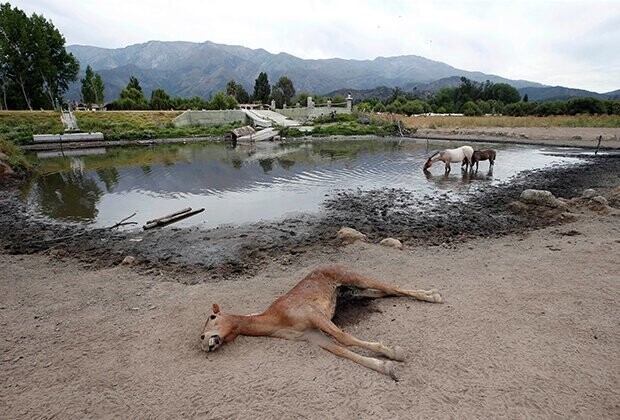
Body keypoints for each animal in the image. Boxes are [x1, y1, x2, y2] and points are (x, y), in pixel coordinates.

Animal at [201, 266, 444, 380]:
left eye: (212, 317)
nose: (204, 342)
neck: (277, 320)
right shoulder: (313, 336)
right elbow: (343, 351)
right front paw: (386, 367)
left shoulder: (314, 315)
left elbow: (344, 338)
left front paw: (394, 352)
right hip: (354, 292)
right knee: (386, 292)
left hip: (355, 278)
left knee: (391, 287)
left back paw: (433, 295)